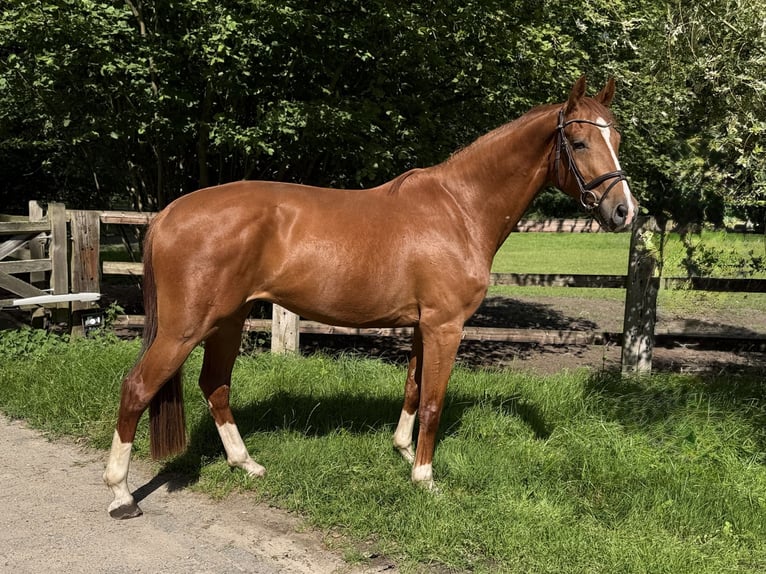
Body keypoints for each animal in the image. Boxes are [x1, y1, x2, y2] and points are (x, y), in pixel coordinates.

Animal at [104, 76, 638, 518]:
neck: (459, 209)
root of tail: (168, 213)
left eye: (617, 140)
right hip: (184, 328)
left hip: (229, 320)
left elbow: (413, 389)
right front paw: (424, 479)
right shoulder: (446, 326)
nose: (623, 211)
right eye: (579, 141)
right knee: (137, 388)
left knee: (215, 385)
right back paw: (122, 494)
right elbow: (433, 401)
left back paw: (246, 463)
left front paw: (402, 450)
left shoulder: (424, 325)